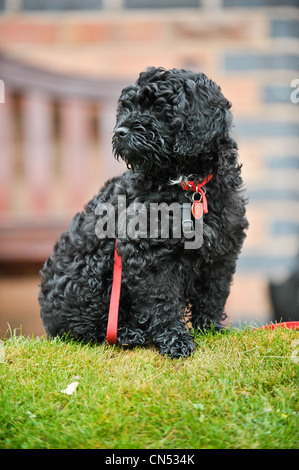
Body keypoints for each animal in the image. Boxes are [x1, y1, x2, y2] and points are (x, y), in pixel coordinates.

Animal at [39, 68, 248, 358]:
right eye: (127, 109)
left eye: (158, 108)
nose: (119, 132)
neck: (186, 184)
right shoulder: (148, 255)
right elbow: (163, 300)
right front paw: (175, 340)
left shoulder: (221, 252)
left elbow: (212, 294)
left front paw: (211, 329)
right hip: (91, 273)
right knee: (85, 329)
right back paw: (127, 334)